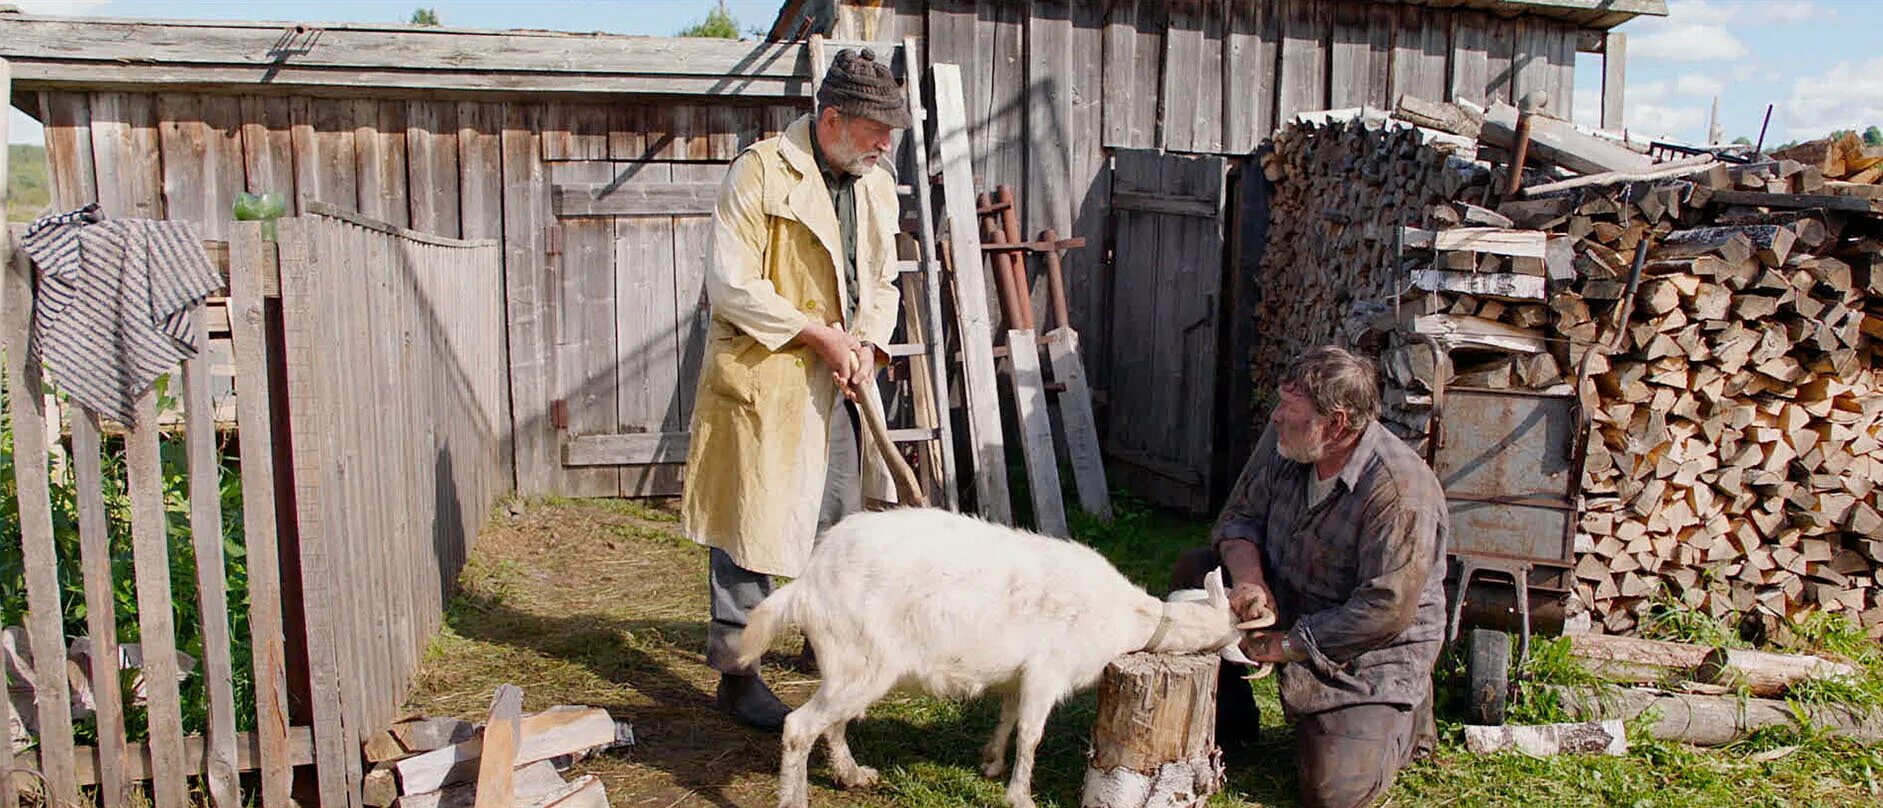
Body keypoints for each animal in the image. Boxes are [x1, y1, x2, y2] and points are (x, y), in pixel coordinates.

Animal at [734, 508, 1235, 802]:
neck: (1128, 615)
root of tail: (808, 583)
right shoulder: (1047, 672)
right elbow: (1032, 734)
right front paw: (1020, 794)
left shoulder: (1021, 675)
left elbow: (1009, 716)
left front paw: (991, 762)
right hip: (861, 664)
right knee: (799, 727)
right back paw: (796, 797)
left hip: (850, 666)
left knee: (832, 723)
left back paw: (853, 774)